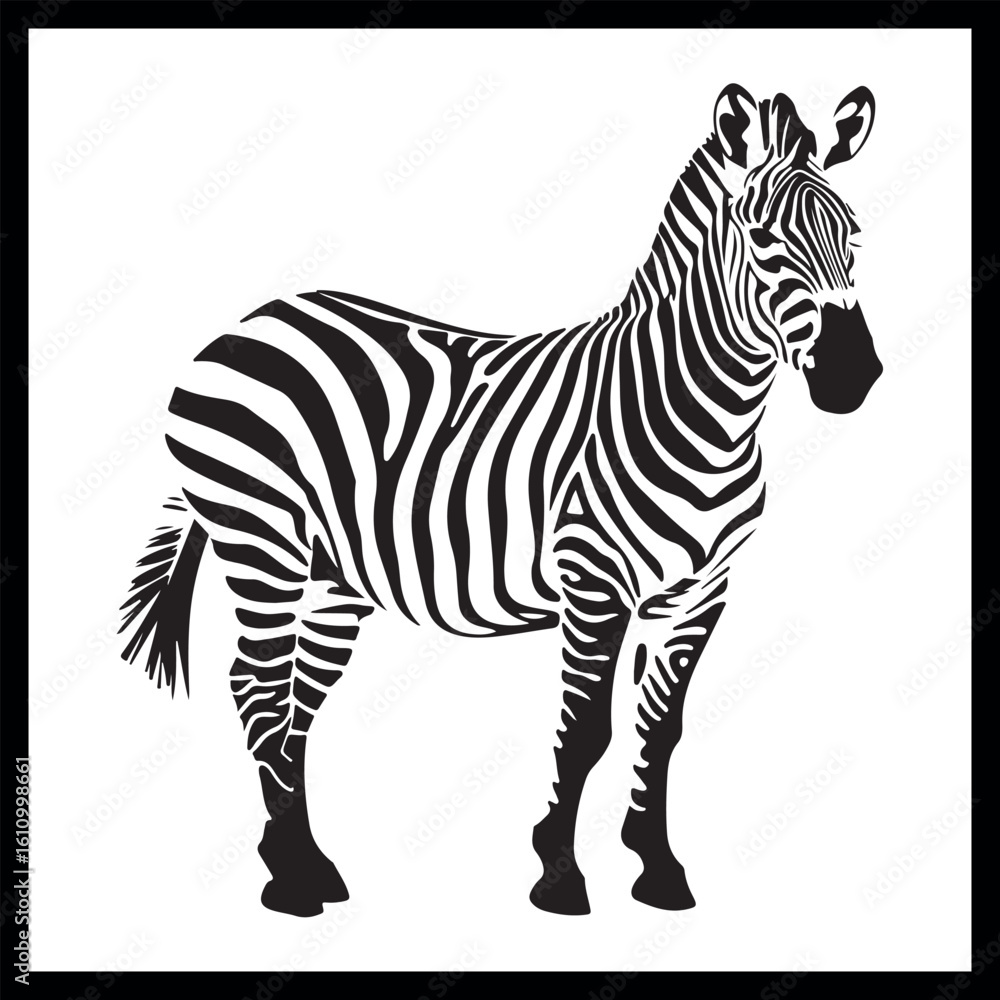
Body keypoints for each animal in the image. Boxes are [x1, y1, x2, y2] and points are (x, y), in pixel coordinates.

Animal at [120, 84, 882, 917]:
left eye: (855, 237)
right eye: (763, 237)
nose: (855, 374)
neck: (703, 416)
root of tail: (248, 320)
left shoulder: (700, 595)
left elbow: (661, 730)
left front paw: (657, 869)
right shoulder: (593, 582)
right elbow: (586, 732)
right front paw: (559, 874)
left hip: (332, 579)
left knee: (297, 701)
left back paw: (306, 864)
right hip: (261, 542)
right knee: (257, 688)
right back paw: (289, 883)